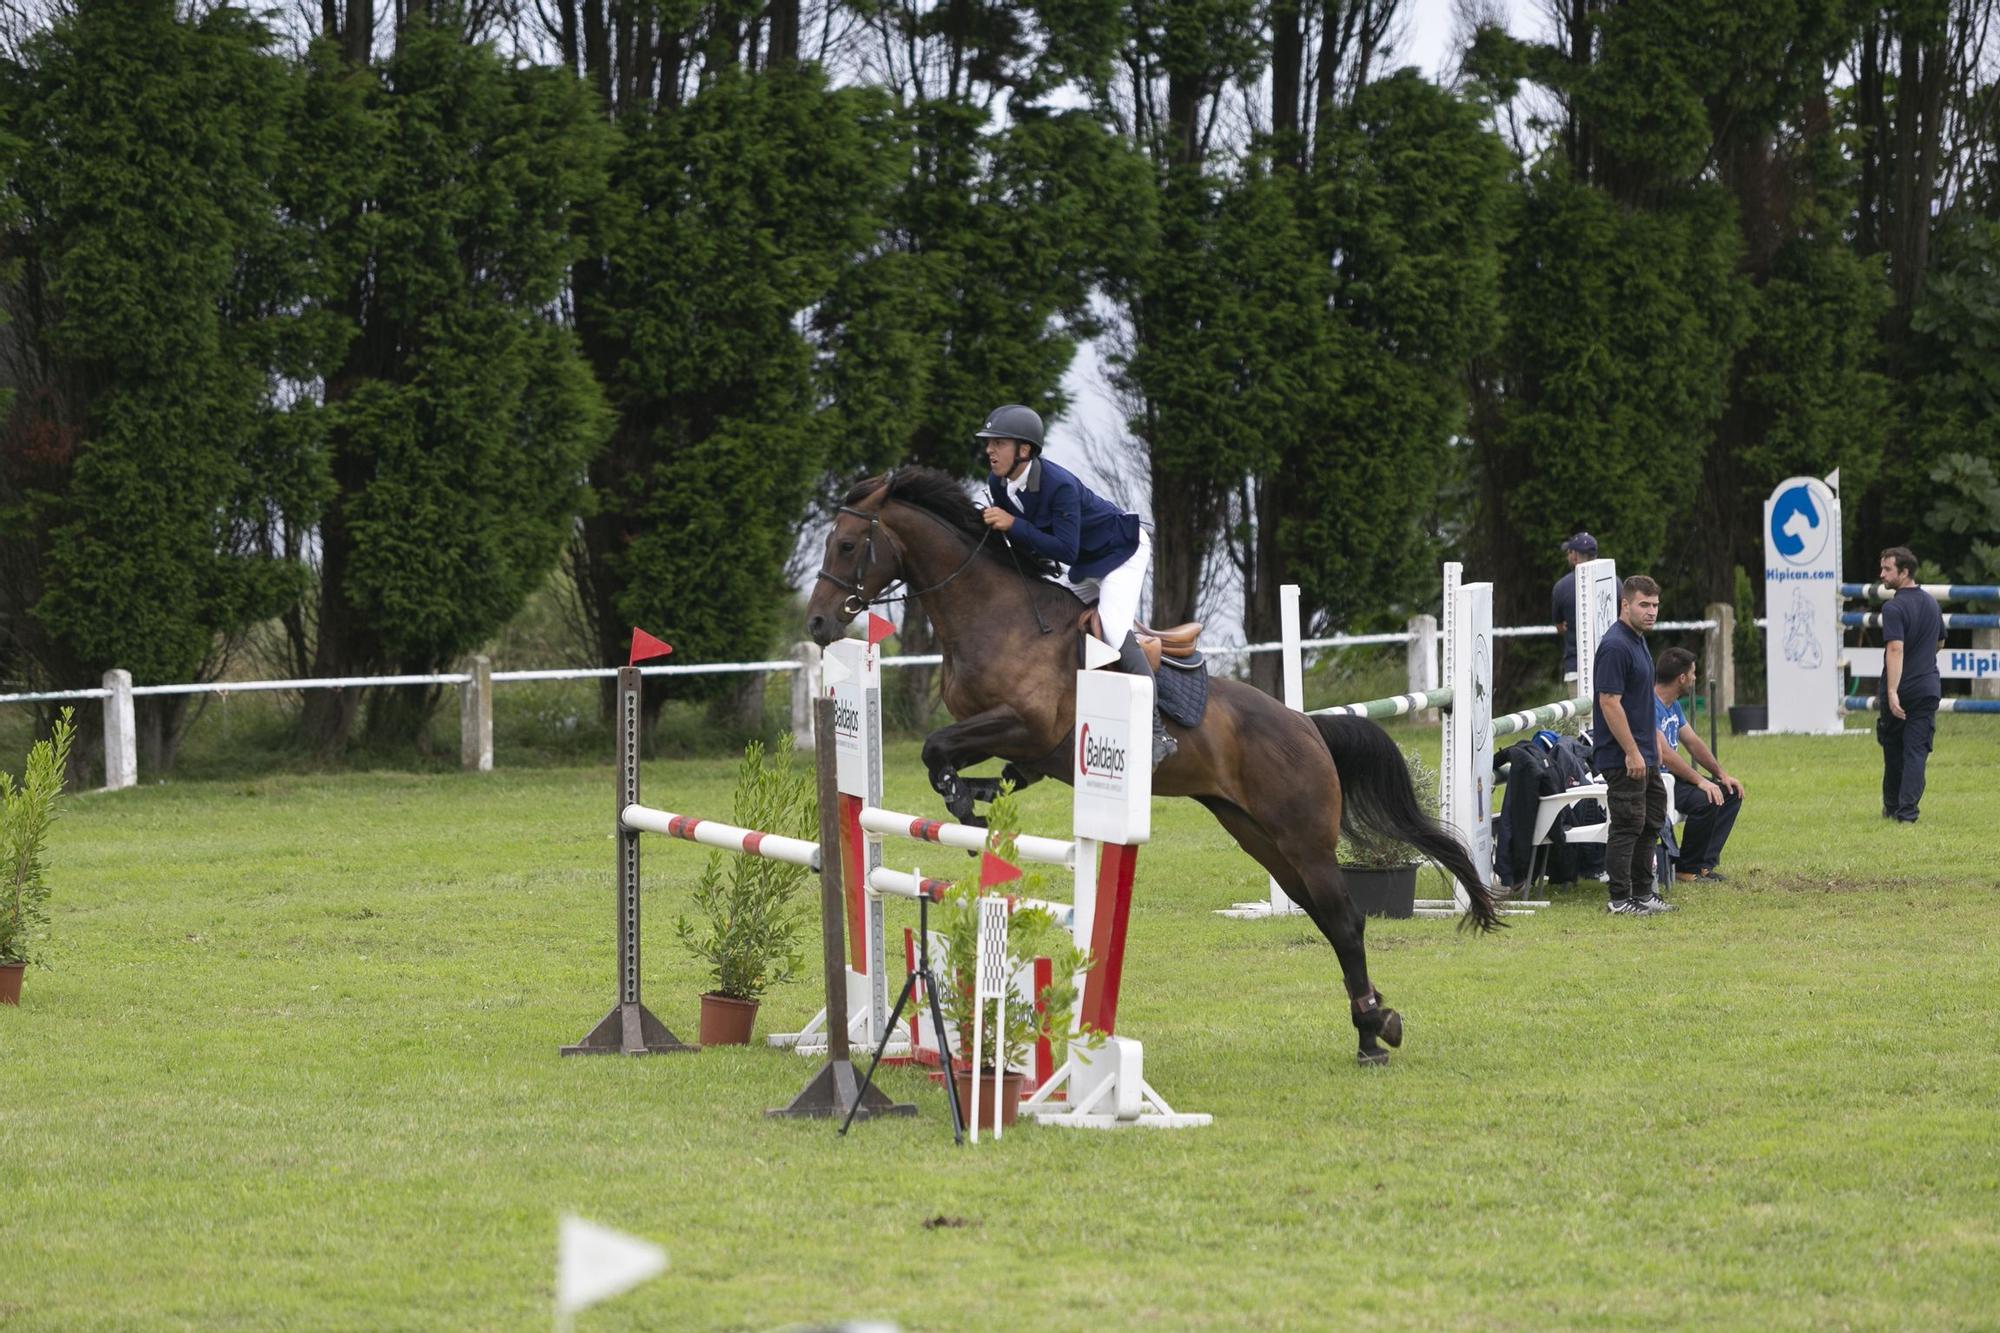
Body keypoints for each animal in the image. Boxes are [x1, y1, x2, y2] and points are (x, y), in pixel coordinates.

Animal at [804, 466, 1496, 1056]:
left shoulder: (1027, 725)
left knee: (1347, 921)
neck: (992, 617)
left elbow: (937, 748)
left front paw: (961, 799)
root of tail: (1306, 726)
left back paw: (1372, 1035)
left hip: (1301, 837)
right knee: (1329, 919)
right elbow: (964, 761)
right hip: (1259, 836)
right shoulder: (1024, 745)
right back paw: (1375, 1022)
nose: (815, 624)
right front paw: (973, 804)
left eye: (847, 545)